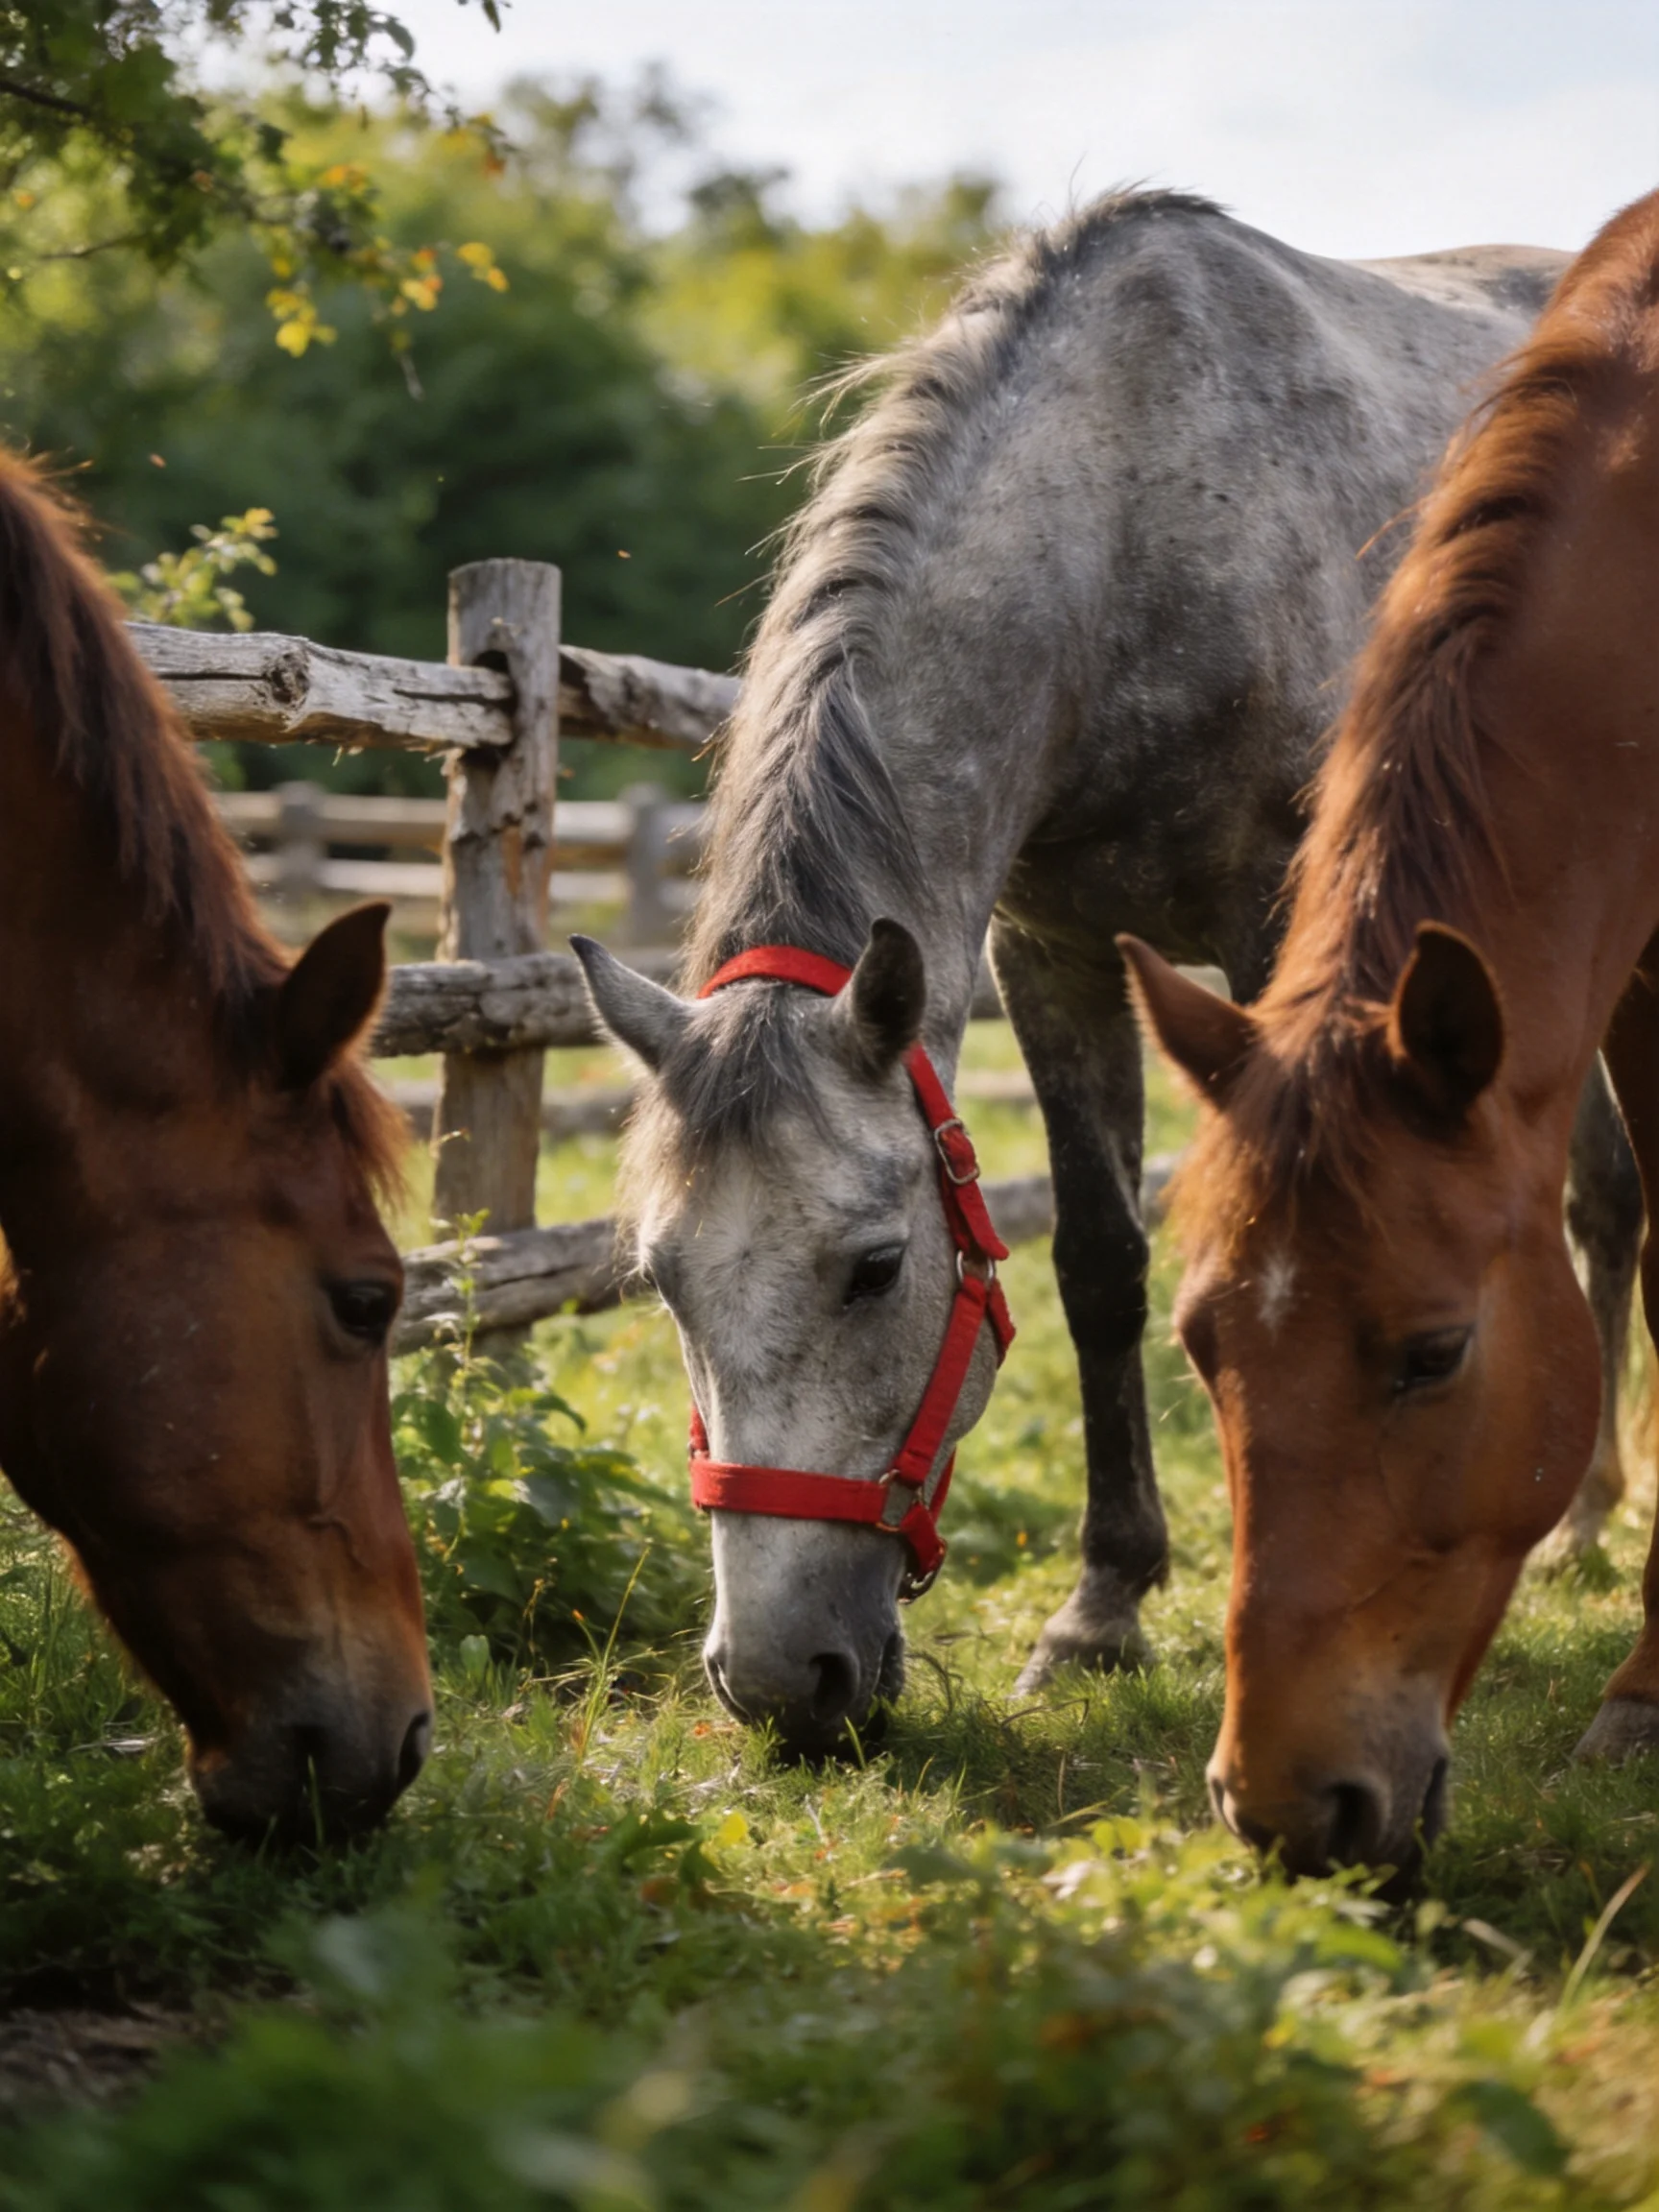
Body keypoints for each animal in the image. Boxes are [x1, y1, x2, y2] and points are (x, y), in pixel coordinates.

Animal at [575, 188, 1615, 1756]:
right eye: (661, 1279)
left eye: (876, 1270)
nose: (778, 1687)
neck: (1130, 525)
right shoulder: (1052, 952)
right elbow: (1100, 1261)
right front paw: (1102, 1609)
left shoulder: (1282, 937)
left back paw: (1588, 1525)